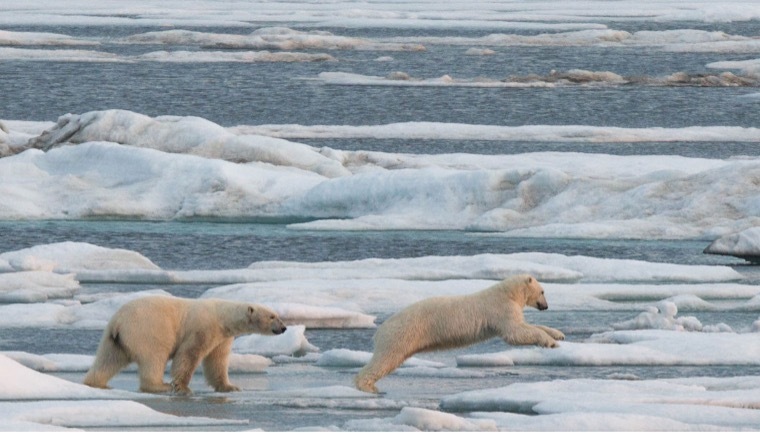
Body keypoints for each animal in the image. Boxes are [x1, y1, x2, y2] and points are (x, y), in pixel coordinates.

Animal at [83, 296, 284, 394]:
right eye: (272, 316)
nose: (283, 328)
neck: (222, 315)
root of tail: (119, 322)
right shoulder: (203, 328)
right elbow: (189, 355)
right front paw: (182, 387)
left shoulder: (222, 337)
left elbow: (217, 361)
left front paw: (230, 387)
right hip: (147, 329)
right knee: (154, 357)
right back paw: (160, 386)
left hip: (113, 338)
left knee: (108, 359)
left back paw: (95, 383)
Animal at [354, 276, 560, 394]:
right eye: (543, 291)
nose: (546, 306)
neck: (508, 293)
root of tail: (380, 330)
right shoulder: (501, 310)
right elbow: (515, 333)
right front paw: (550, 342)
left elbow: (525, 326)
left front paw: (557, 335)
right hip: (401, 334)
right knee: (384, 360)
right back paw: (366, 385)